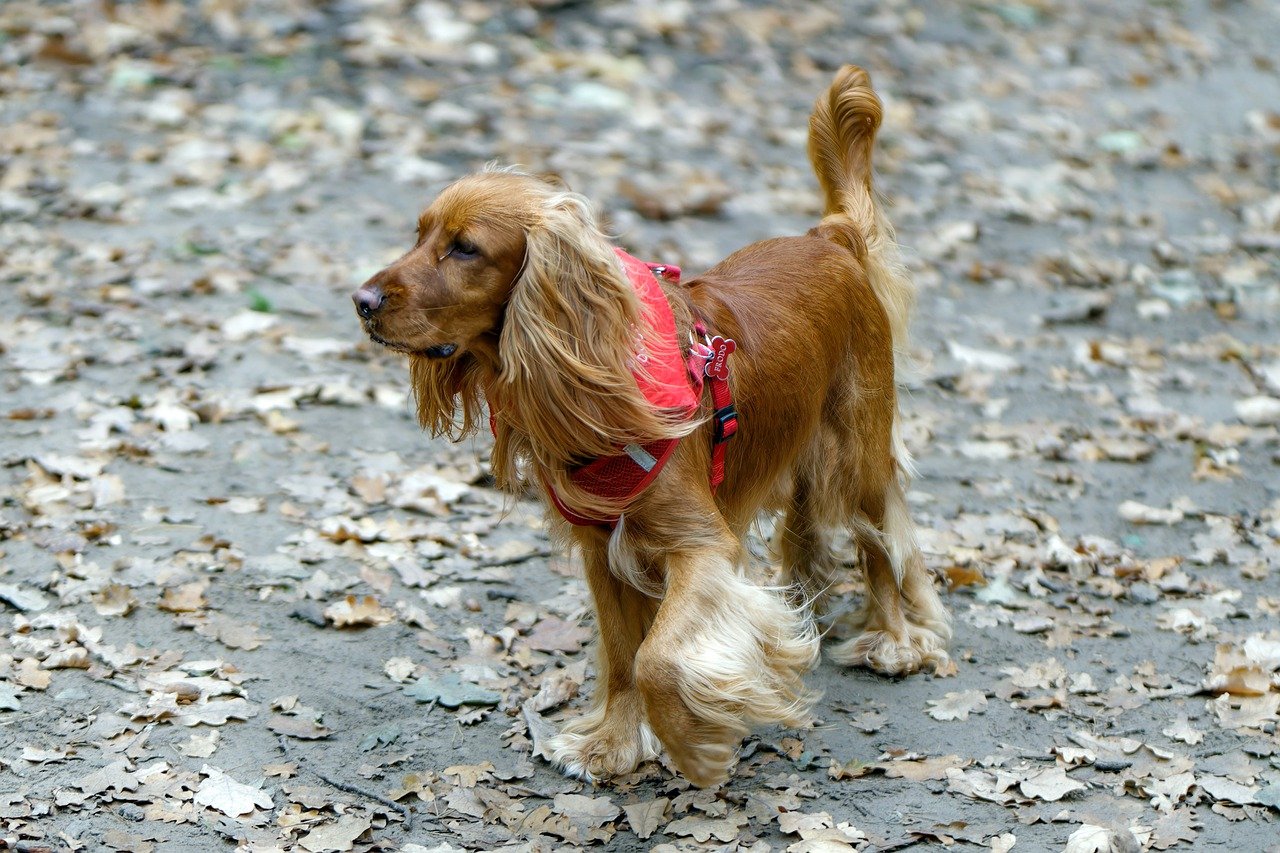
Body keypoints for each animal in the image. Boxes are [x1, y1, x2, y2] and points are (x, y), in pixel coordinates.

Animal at [355, 64, 947, 783]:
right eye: (418, 235)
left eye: (465, 249)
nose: (361, 301)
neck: (592, 361)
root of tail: (830, 237)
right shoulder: (600, 549)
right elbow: (621, 656)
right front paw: (612, 744)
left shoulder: (700, 545)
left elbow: (657, 658)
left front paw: (697, 745)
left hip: (854, 444)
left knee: (881, 539)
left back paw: (893, 640)